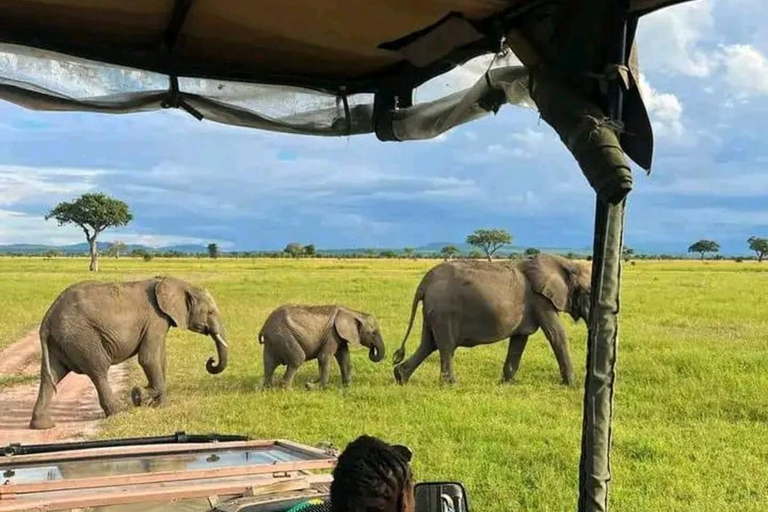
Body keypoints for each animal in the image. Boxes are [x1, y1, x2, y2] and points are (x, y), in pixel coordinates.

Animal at [30, 276, 228, 428]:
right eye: (210, 312)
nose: (211, 360)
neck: (174, 282)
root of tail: (47, 319)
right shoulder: (155, 320)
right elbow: (149, 358)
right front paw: (140, 395)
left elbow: (160, 359)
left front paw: (160, 405)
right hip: (81, 336)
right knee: (98, 370)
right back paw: (119, 411)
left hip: (60, 341)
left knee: (50, 375)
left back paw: (42, 425)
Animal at [260, 304, 390, 388]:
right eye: (373, 333)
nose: (373, 350)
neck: (352, 312)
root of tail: (264, 326)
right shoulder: (331, 334)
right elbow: (324, 357)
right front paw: (315, 387)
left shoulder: (338, 336)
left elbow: (344, 357)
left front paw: (347, 386)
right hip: (282, 335)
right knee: (297, 358)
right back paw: (287, 389)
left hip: (275, 339)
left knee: (269, 364)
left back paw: (268, 388)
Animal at [392, 254, 592, 386]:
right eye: (589, 292)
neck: (567, 263)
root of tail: (425, 282)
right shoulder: (541, 300)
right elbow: (556, 335)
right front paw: (571, 385)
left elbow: (519, 341)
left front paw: (507, 383)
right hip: (444, 311)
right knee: (446, 346)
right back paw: (451, 385)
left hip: (432, 311)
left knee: (428, 344)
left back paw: (400, 377)